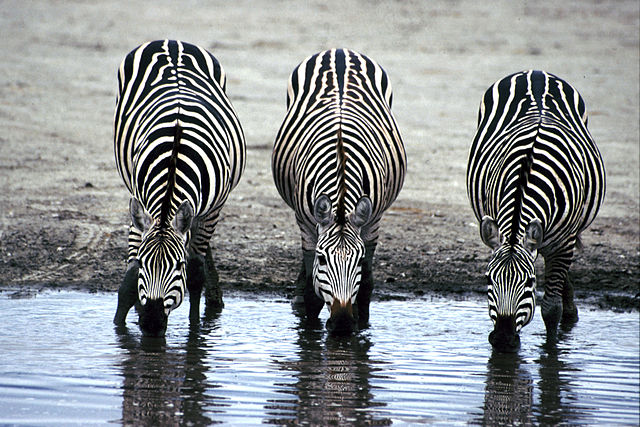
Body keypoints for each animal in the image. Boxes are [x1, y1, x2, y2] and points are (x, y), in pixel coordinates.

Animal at [112, 40, 245, 336]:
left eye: (178, 266)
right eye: (144, 263)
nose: (151, 323)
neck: (175, 156)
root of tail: (172, 41)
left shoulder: (212, 210)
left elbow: (196, 273)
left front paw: (196, 331)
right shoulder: (139, 201)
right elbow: (129, 278)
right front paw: (120, 326)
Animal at [272, 49, 406, 334]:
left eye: (358, 260)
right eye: (323, 260)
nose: (343, 323)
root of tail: (340, 51)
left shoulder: (372, 221)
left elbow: (366, 285)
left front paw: (361, 324)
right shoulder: (305, 222)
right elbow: (312, 288)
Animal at [467, 70, 605, 351]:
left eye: (530, 282)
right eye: (488, 279)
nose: (503, 339)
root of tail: (535, 72)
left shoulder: (563, 243)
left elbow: (551, 309)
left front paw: (551, 350)